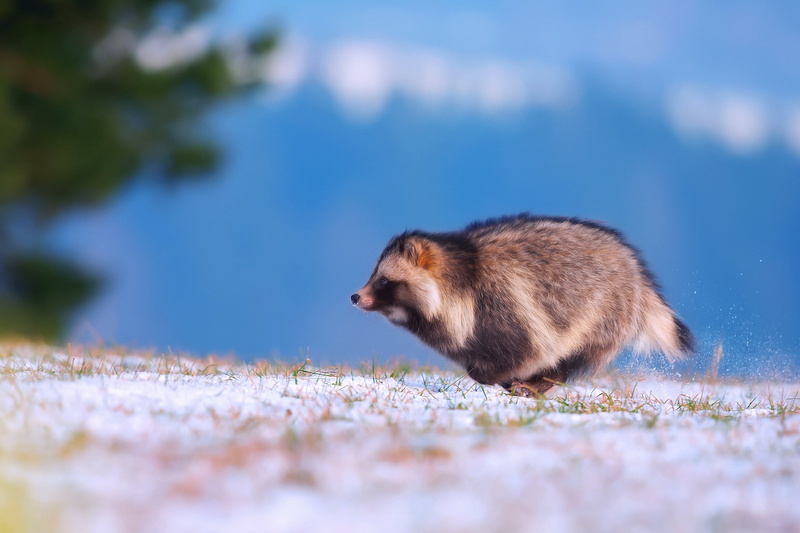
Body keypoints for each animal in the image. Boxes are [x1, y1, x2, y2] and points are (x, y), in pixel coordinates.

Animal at [351, 214, 694, 395]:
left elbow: (526, 350)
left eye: (383, 281)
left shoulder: (505, 305)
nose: (355, 296)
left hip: (605, 312)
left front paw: (503, 378)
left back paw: (541, 382)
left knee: (574, 355)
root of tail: (636, 269)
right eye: (374, 275)